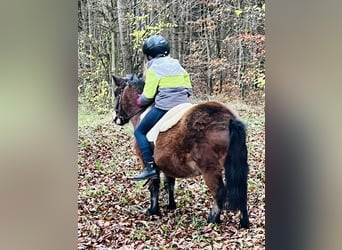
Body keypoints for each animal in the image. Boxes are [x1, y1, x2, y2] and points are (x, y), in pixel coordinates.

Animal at [113, 74, 250, 229]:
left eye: (117, 93)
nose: (117, 119)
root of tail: (228, 119)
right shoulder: (166, 163)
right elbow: (170, 184)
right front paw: (171, 205)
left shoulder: (148, 163)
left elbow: (154, 186)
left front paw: (153, 210)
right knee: (241, 190)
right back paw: (244, 222)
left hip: (210, 169)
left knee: (219, 192)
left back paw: (212, 219)